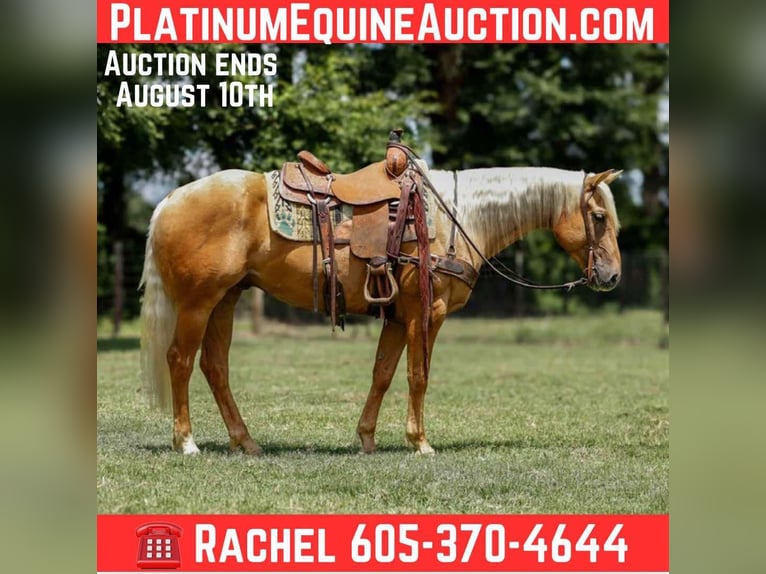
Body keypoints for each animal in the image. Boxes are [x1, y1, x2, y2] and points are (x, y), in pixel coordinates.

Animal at [139, 163, 622, 456]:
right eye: (598, 217)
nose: (612, 276)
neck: (452, 219)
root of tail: (169, 200)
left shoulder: (397, 316)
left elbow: (383, 374)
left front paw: (367, 439)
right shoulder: (427, 313)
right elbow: (417, 376)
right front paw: (420, 442)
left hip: (226, 299)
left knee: (215, 367)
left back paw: (247, 443)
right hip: (198, 303)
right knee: (180, 361)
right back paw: (186, 442)